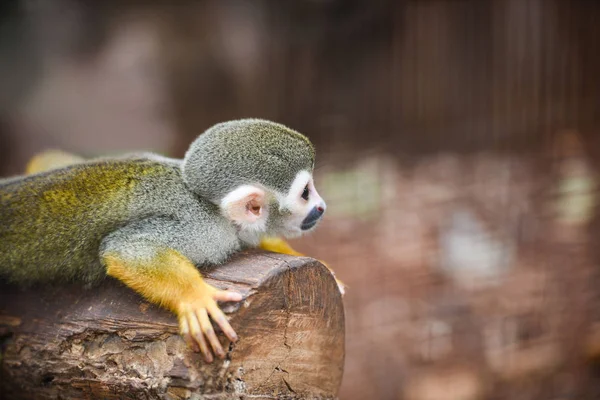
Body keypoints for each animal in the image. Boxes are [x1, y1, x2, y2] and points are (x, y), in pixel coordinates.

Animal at [0, 118, 328, 362]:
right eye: (305, 193)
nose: (321, 207)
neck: (214, 209)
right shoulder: (204, 230)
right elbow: (124, 248)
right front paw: (195, 296)